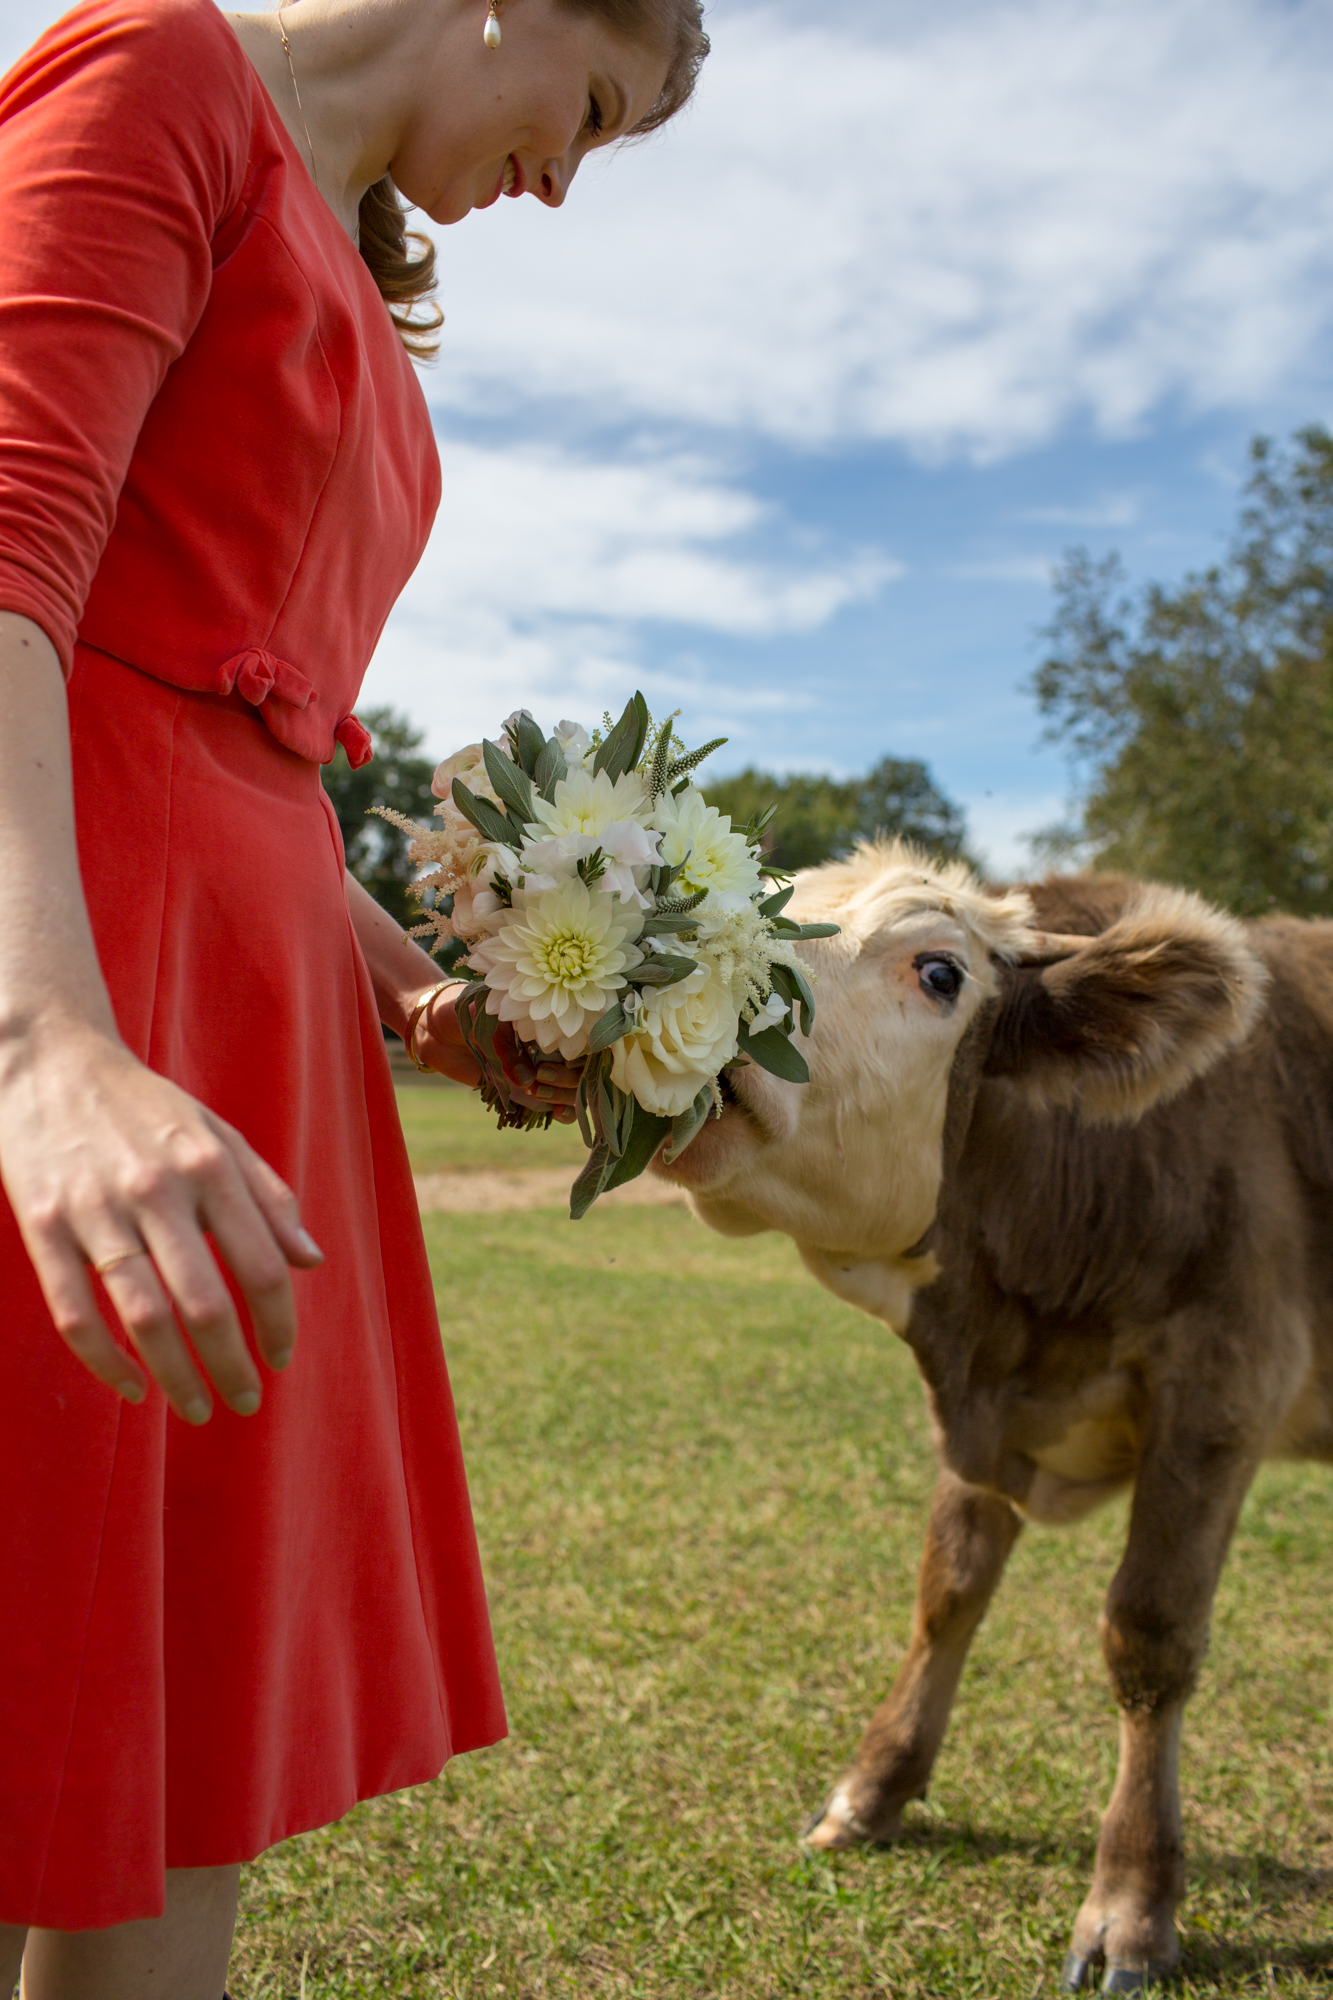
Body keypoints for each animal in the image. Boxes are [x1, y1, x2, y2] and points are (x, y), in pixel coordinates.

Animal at [656, 836, 1328, 1992]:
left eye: (939, 971)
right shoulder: (982, 1420)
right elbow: (948, 1587)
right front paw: (873, 1788)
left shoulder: (1226, 1381)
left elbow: (1148, 1634)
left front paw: (1130, 1900)